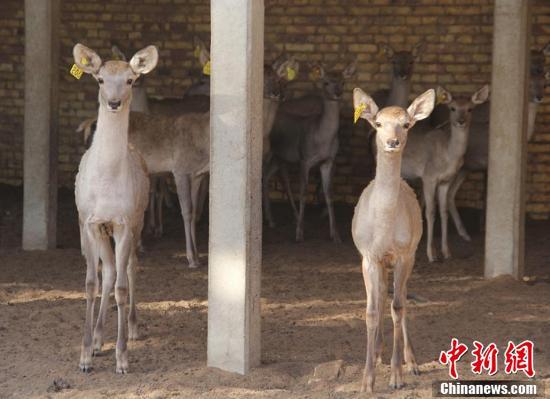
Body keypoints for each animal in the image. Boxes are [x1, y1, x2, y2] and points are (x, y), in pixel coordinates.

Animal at [73, 42, 160, 374]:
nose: (113, 102)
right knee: (108, 271)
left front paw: (122, 359)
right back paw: (98, 341)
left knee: (130, 268)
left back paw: (132, 328)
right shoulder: (88, 221)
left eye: (130, 80)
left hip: (138, 220)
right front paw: (85, 356)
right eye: (99, 79)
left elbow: (122, 287)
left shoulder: (125, 221)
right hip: (99, 229)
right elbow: (90, 283)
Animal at [266, 59, 360, 241]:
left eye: (343, 82)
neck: (322, 140)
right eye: (326, 82)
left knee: (271, 177)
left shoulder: (328, 161)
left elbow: (329, 194)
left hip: (280, 157)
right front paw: (299, 233)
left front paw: (335, 235)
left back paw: (275, 220)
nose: (338, 93)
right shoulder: (305, 158)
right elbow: (303, 193)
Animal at [352, 88, 438, 394]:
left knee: (401, 299)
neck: (384, 228)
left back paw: (410, 362)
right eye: (378, 123)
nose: (392, 141)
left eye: (406, 124)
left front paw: (397, 375)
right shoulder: (368, 255)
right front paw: (366, 381)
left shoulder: (403, 254)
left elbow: (398, 308)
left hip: (410, 256)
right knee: (382, 297)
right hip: (380, 263)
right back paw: (378, 353)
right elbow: (371, 311)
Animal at [402, 84, 492, 262]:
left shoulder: (445, 181)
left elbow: (443, 212)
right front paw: (431, 255)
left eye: (470, 109)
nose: (461, 121)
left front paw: (446, 252)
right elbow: (430, 212)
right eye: (452, 108)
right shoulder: (429, 177)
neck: (448, 157)